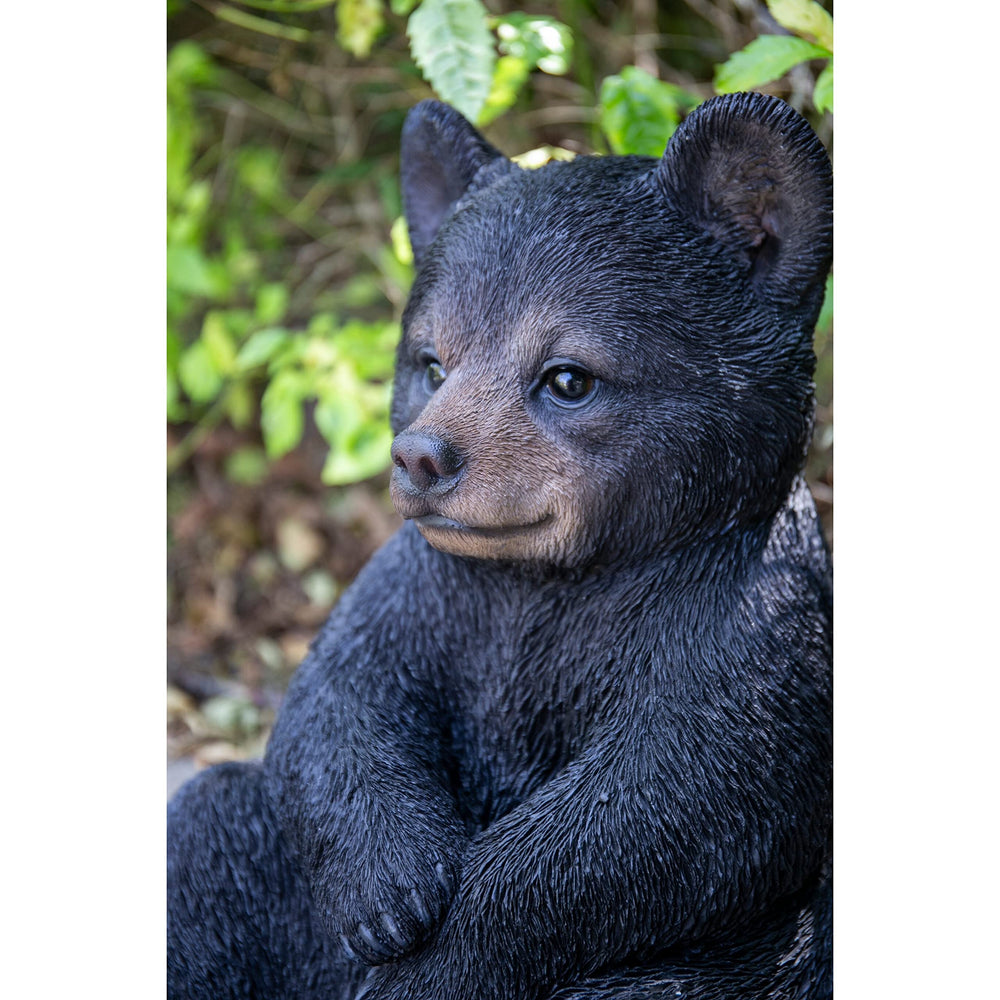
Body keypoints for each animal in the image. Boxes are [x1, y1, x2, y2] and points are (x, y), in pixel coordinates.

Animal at [167, 91, 833, 1000]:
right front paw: (392, 891)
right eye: (431, 361)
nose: (421, 457)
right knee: (215, 828)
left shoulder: (748, 626)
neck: (557, 578)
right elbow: (339, 694)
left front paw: (433, 965)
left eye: (568, 376)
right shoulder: (429, 587)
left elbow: (671, 807)